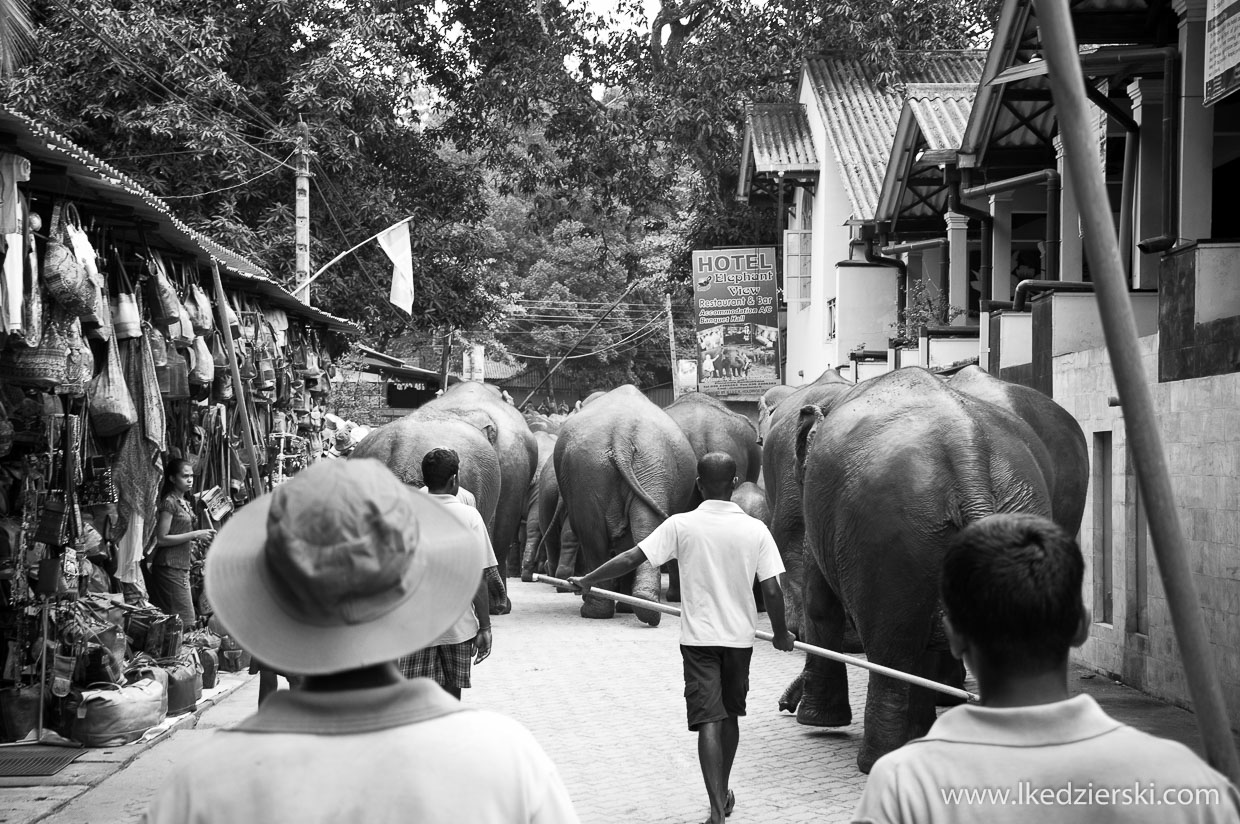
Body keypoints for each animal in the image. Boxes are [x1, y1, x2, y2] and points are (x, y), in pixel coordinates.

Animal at [553, 386, 699, 624]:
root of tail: (622, 433)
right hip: (653, 465)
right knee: (641, 529)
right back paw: (645, 606)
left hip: (589, 470)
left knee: (591, 534)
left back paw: (594, 611)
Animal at [793, 366, 1086, 773]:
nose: (785, 703)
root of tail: (967, 450)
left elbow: (819, 603)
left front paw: (814, 720)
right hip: (1005, 510)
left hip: (890, 532)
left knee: (891, 651)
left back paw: (876, 761)